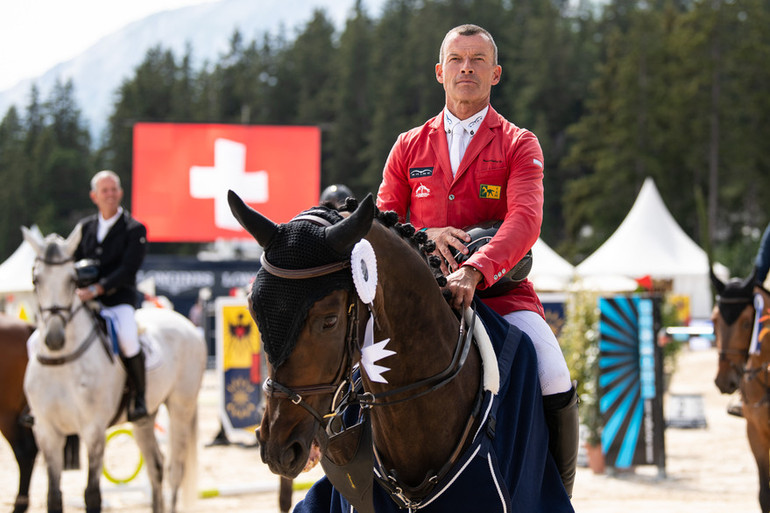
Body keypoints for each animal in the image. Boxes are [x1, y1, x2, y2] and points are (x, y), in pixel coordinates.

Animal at [21, 225, 207, 512]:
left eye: (72, 280)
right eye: (35, 280)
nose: (54, 339)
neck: (62, 362)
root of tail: (186, 324)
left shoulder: (94, 430)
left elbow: (92, 494)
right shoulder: (47, 432)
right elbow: (53, 496)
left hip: (180, 408)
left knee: (175, 470)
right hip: (145, 417)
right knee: (156, 467)